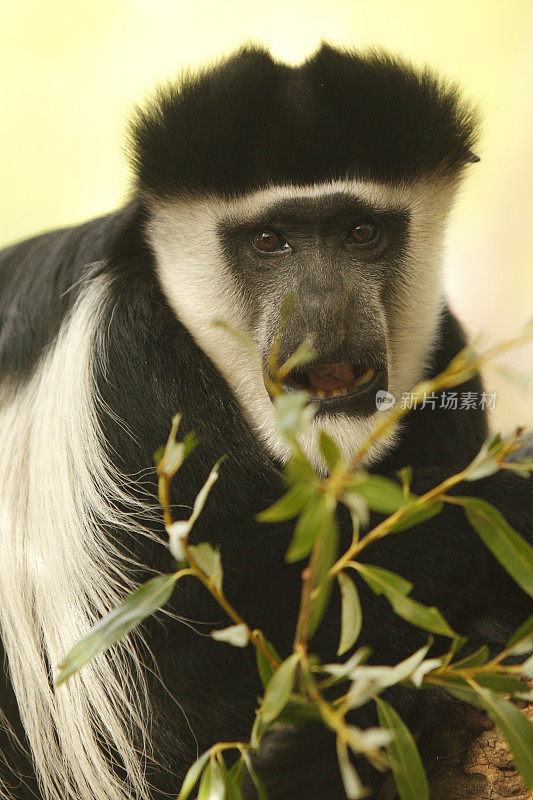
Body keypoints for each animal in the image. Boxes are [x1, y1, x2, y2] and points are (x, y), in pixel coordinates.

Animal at [0, 45, 528, 800]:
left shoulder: (445, 356)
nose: (322, 308)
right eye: (269, 241)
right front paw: (506, 505)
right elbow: (160, 693)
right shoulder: (120, 373)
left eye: (361, 233)